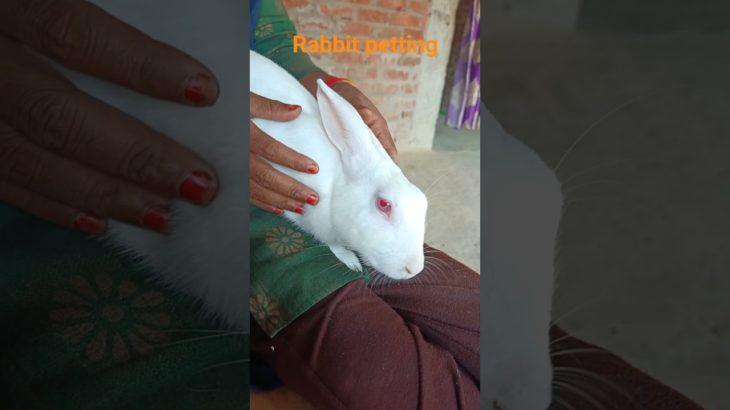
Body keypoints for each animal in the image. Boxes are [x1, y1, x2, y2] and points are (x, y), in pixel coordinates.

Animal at [249, 50, 428, 281]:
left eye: (423, 203)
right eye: (383, 204)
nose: (413, 269)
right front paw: (351, 262)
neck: (335, 185)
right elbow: (333, 244)